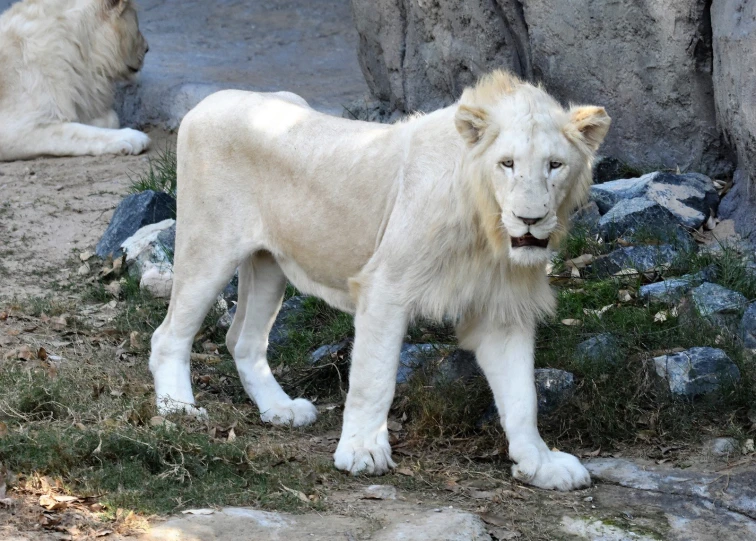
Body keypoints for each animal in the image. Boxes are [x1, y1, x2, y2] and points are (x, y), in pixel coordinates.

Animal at [0, 0, 152, 160]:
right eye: (137, 26)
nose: (147, 48)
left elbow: (108, 118)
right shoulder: (13, 128)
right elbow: (76, 134)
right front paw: (133, 138)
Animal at [151, 70, 612, 490]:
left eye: (554, 165)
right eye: (507, 163)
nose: (530, 219)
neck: (487, 229)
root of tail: (211, 100)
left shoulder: (502, 309)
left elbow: (522, 397)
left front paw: (542, 464)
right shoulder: (387, 286)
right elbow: (374, 378)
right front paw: (362, 452)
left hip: (268, 263)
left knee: (243, 341)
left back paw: (280, 410)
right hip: (208, 246)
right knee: (169, 335)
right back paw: (178, 409)